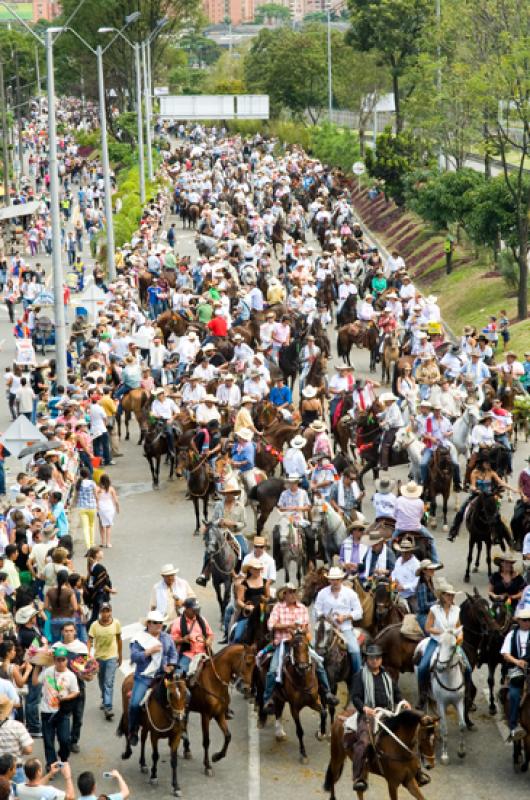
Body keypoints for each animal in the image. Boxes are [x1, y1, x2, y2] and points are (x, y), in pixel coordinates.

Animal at [182, 644, 256, 776]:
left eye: (254, 665)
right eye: (247, 663)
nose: (247, 689)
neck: (214, 681)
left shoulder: (219, 714)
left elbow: (228, 736)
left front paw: (217, 756)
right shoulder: (205, 715)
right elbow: (206, 741)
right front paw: (207, 766)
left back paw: (187, 750)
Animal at [418, 628, 464, 764]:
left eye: (453, 646)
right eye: (439, 644)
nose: (440, 667)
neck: (450, 679)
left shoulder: (459, 701)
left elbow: (462, 725)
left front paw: (461, 752)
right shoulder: (442, 703)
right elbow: (445, 729)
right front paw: (444, 756)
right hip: (426, 694)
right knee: (426, 708)